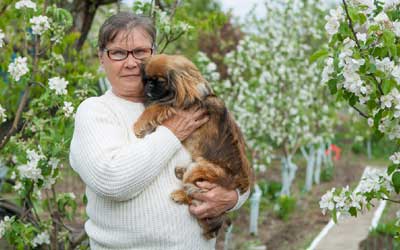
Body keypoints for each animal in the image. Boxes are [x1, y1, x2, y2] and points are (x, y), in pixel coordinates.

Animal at [134, 54, 253, 238]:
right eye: (146, 79)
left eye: (159, 81)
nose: (149, 86)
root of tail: (239, 183)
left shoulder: (174, 107)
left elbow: (154, 108)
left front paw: (138, 125)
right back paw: (180, 171)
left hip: (201, 169)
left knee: (195, 195)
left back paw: (180, 194)